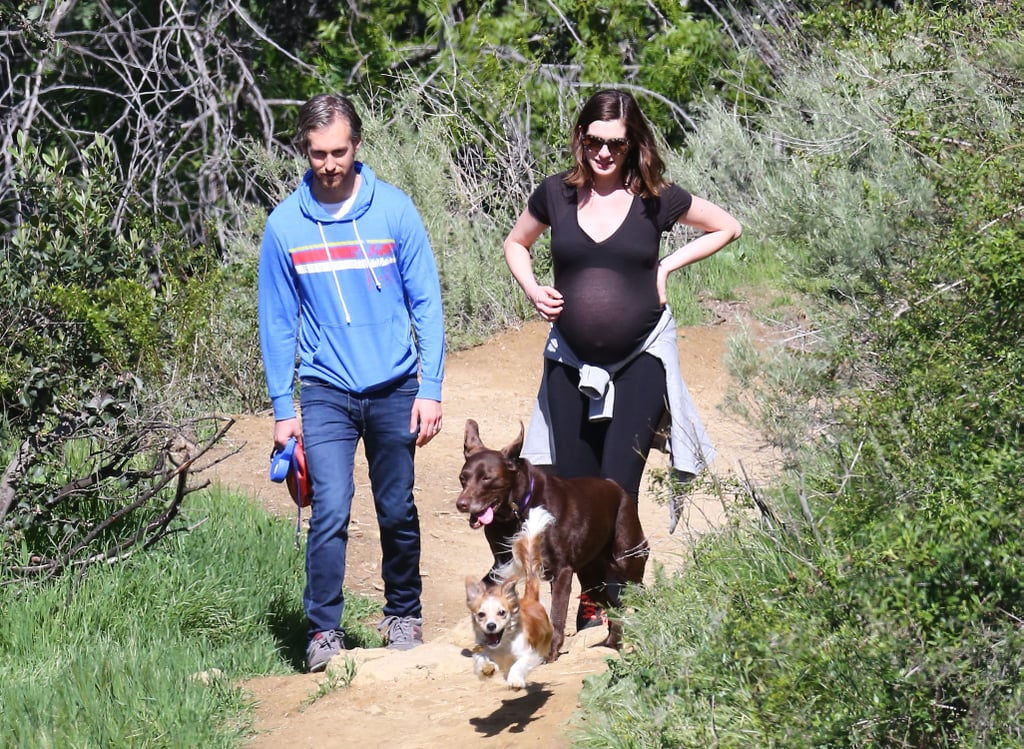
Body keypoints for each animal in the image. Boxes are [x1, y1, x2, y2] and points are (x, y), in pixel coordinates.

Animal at [456, 422, 647, 663]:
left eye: (487, 478)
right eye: (463, 477)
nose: (461, 504)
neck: (519, 511)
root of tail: (617, 488)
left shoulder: (561, 570)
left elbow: (557, 614)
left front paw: (551, 651)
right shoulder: (501, 566)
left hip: (626, 561)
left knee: (642, 595)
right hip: (591, 577)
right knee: (615, 606)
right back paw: (611, 644)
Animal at [468, 504, 557, 692]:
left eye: (502, 613)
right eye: (481, 615)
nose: (491, 626)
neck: (502, 644)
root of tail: (530, 598)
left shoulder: (530, 654)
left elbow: (519, 664)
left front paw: (515, 680)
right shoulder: (484, 649)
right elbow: (482, 658)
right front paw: (487, 667)